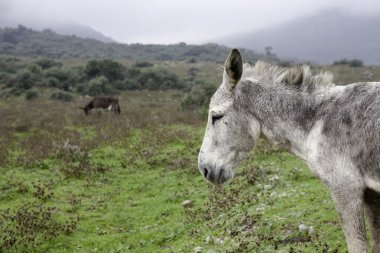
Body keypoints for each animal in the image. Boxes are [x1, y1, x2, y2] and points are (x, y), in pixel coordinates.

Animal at [197, 48, 380, 252]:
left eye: (216, 116)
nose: (204, 169)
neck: (316, 118)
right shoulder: (371, 194)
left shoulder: (346, 188)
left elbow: (357, 246)